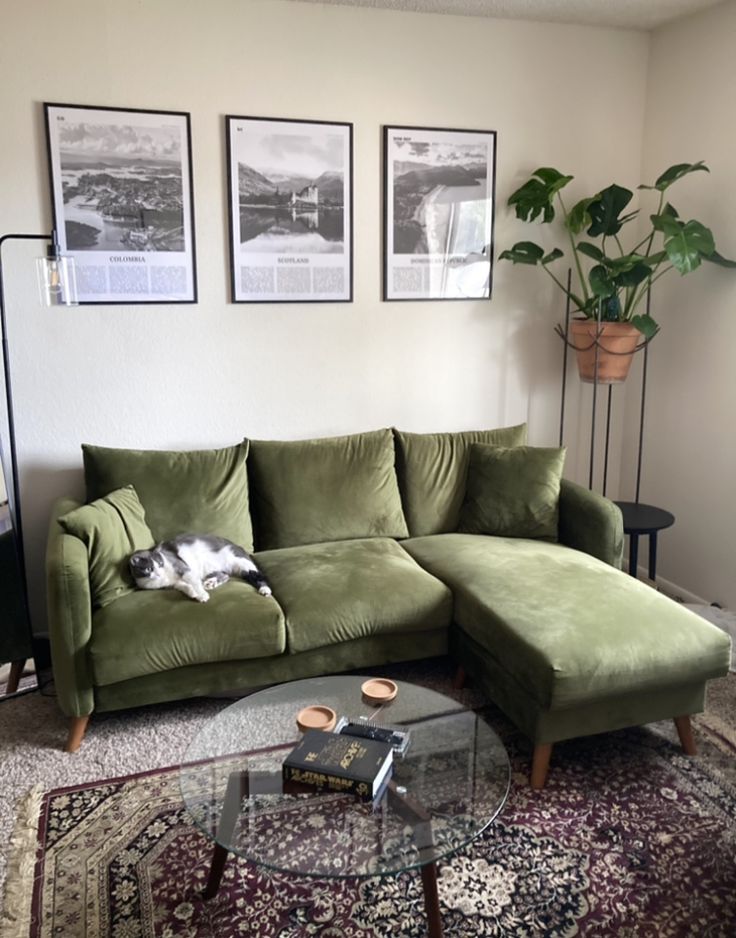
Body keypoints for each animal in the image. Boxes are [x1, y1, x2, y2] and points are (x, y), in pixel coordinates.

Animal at [130, 532, 274, 600]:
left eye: (160, 564)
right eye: (149, 569)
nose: (159, 573)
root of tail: (240, 547)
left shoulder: (184, 569)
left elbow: (193, 582)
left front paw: (202, 595)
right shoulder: (174, 584)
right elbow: (185, 587)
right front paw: (194, 594)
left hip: (241, 562)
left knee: (258, 576)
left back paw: (265, 590)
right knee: (225, 575)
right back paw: (211, 582)